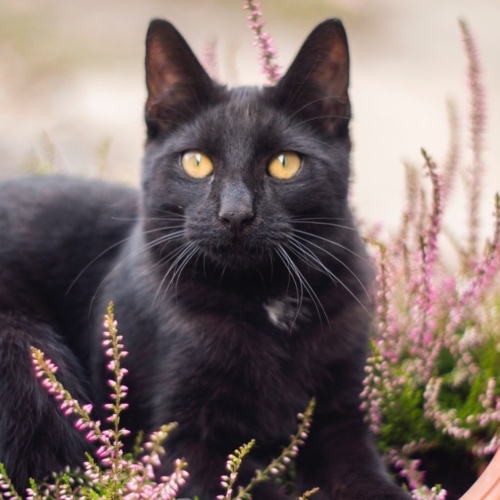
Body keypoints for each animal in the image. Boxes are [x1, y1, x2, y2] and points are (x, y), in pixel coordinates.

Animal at [0, 17, 408, 498]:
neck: (264, 300)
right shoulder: (182, 440)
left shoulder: (340, 418)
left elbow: (364, 474)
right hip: (24, 353)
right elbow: (246, 487)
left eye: (285, 164)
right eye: (196, 163)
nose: (235, 214)